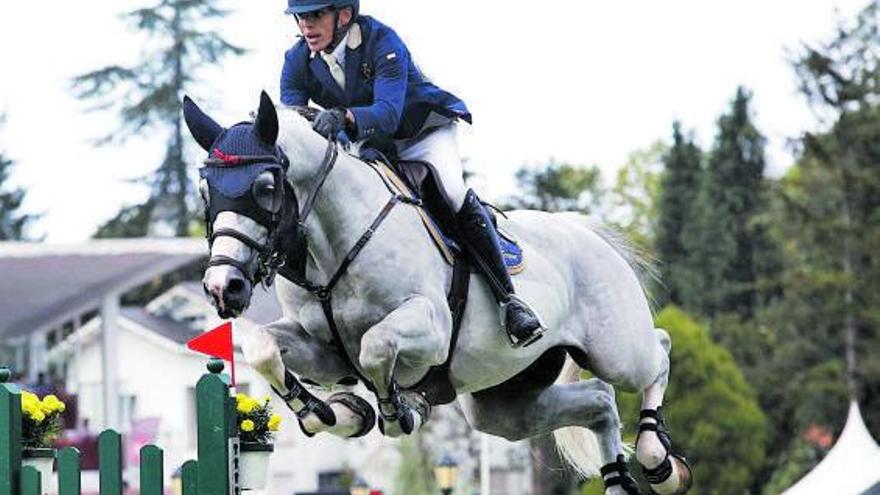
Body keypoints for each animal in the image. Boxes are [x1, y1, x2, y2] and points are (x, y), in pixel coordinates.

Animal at [184, 94, 696, 495]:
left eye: (266, 187)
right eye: (205, 189)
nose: (223, 287)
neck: (331, 246)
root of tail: (586, 231)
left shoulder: (428, 330)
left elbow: (377, 347)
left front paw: (399, 412)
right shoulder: (324, 352)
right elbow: (262, 348)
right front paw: (332, 413)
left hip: (616, 349)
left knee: (657, 352)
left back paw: (658, 459)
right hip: (504, 407)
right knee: (599, 401)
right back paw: (620, 480)